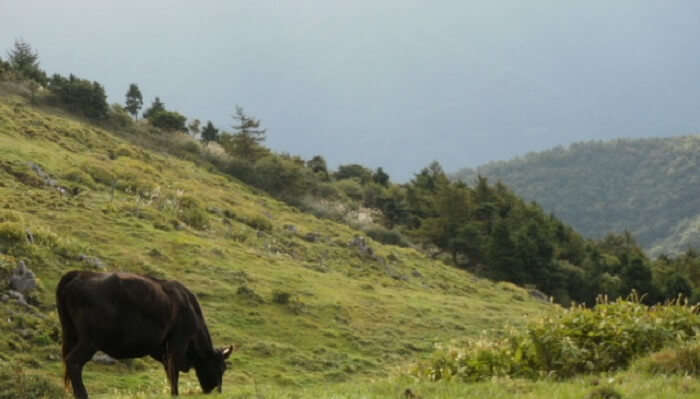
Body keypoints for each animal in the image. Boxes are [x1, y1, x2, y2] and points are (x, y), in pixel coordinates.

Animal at [55, 270, 235, 398]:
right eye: (221, 367)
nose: (217, 391)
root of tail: (81, 274)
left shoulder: (161, 349)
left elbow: (169, 372)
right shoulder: (177, 342)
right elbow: (174, 372)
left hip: (72, 335)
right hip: (90, 340)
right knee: (73, 362)